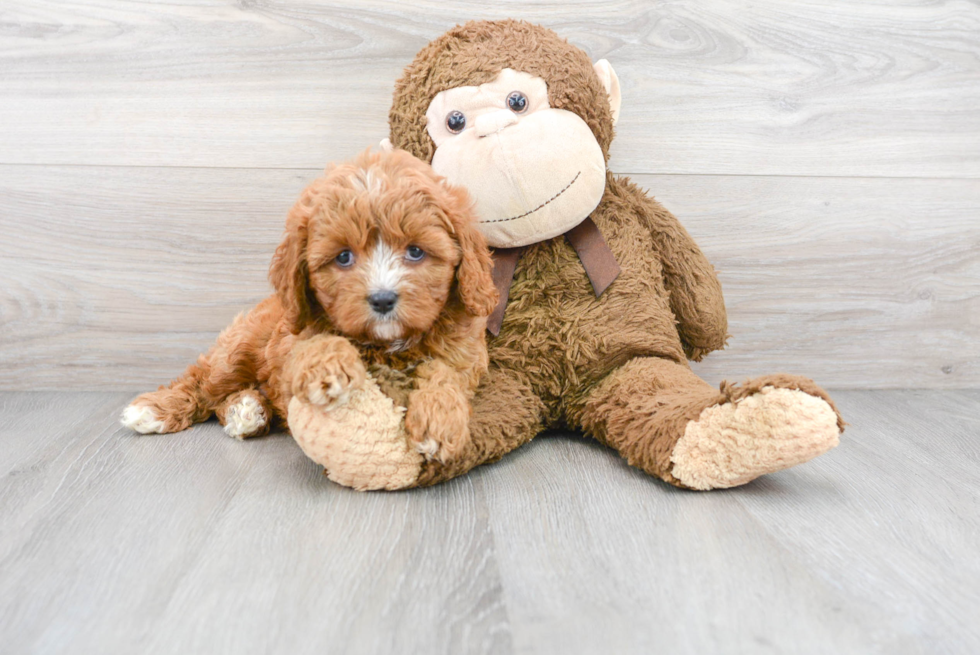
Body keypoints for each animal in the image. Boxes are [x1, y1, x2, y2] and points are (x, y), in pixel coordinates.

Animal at [124, 151, 498, 464]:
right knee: (204, 383)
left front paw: (440, 418)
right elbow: (318, 345)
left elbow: (445, 373)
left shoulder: (464, 355)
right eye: (343, 257)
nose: (382, 299)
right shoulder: (288, 347)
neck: (386, 345)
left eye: (416, 251)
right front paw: (328, 371)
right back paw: (158, 409)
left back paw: (245, 410)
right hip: (239, 347)